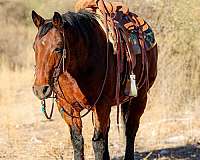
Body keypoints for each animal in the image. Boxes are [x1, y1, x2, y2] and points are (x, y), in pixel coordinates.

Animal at [31, 9, 158, 159]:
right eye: (34, 47)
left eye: (58, 48)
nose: (40, 89)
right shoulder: (67, 107)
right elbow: (78, 141)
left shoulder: (101, 105)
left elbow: (98, 142)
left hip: (140, 97)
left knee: (130, 130)